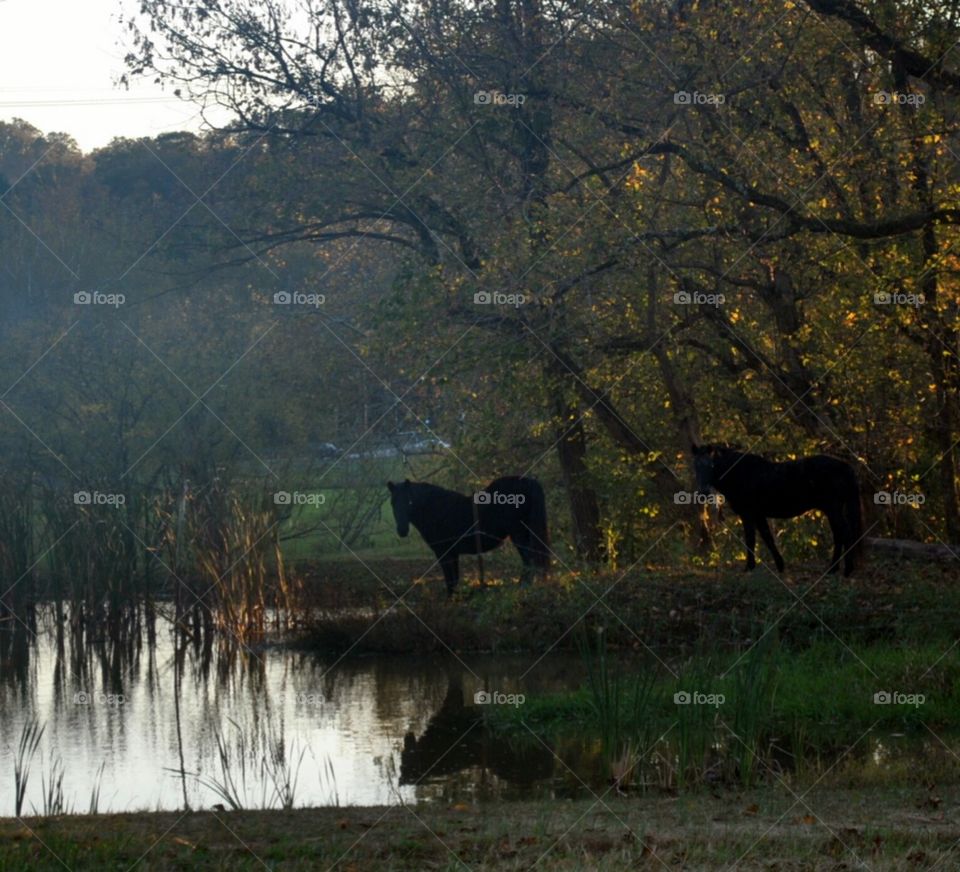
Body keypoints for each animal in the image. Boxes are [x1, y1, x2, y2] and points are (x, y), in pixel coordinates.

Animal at [382, 476, 548, 592]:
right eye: (392, 503)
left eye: (409, 502)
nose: (402, 530)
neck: (438, 511)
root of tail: (528, 481)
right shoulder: (453, 553)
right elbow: (454, 578)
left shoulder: (443, 552)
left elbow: (450, 578)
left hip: (518, 534)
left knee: (529, 560)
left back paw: (523, 587)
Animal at [692, 446, 868, 576]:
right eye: (696, 466)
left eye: (712, 465)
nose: (703, 492)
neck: (740, 474)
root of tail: (845, 467)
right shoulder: (759, 515)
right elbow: (768, 538)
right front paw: (780, 565)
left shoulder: (748, 514)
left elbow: (751, 540)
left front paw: (749, 567)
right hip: (832, 510)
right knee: (839, 536)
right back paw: (833, 569)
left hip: (833, 509)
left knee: (845, 534)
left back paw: (847, 570)